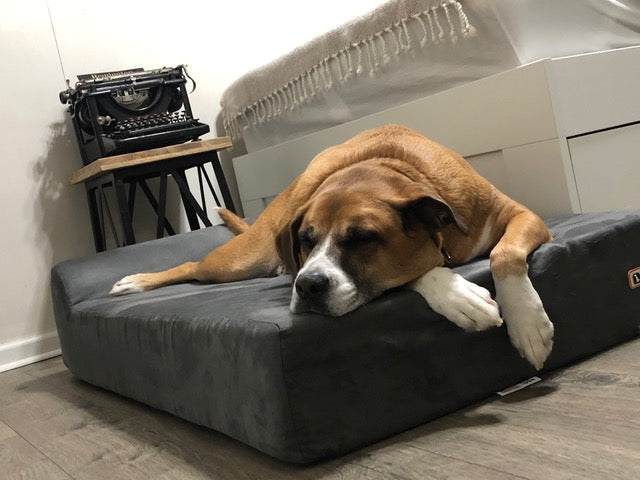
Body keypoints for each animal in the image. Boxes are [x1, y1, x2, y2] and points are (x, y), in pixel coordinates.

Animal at [111, 125, 556, 370]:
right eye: (305, 241)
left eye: (362, 239)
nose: (306, 285)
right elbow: (414, 275)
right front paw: (459, 296)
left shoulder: (522, 216)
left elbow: (504, 254)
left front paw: (526, 324)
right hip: (238, 260)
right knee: (190, 265)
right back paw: (135, 281)